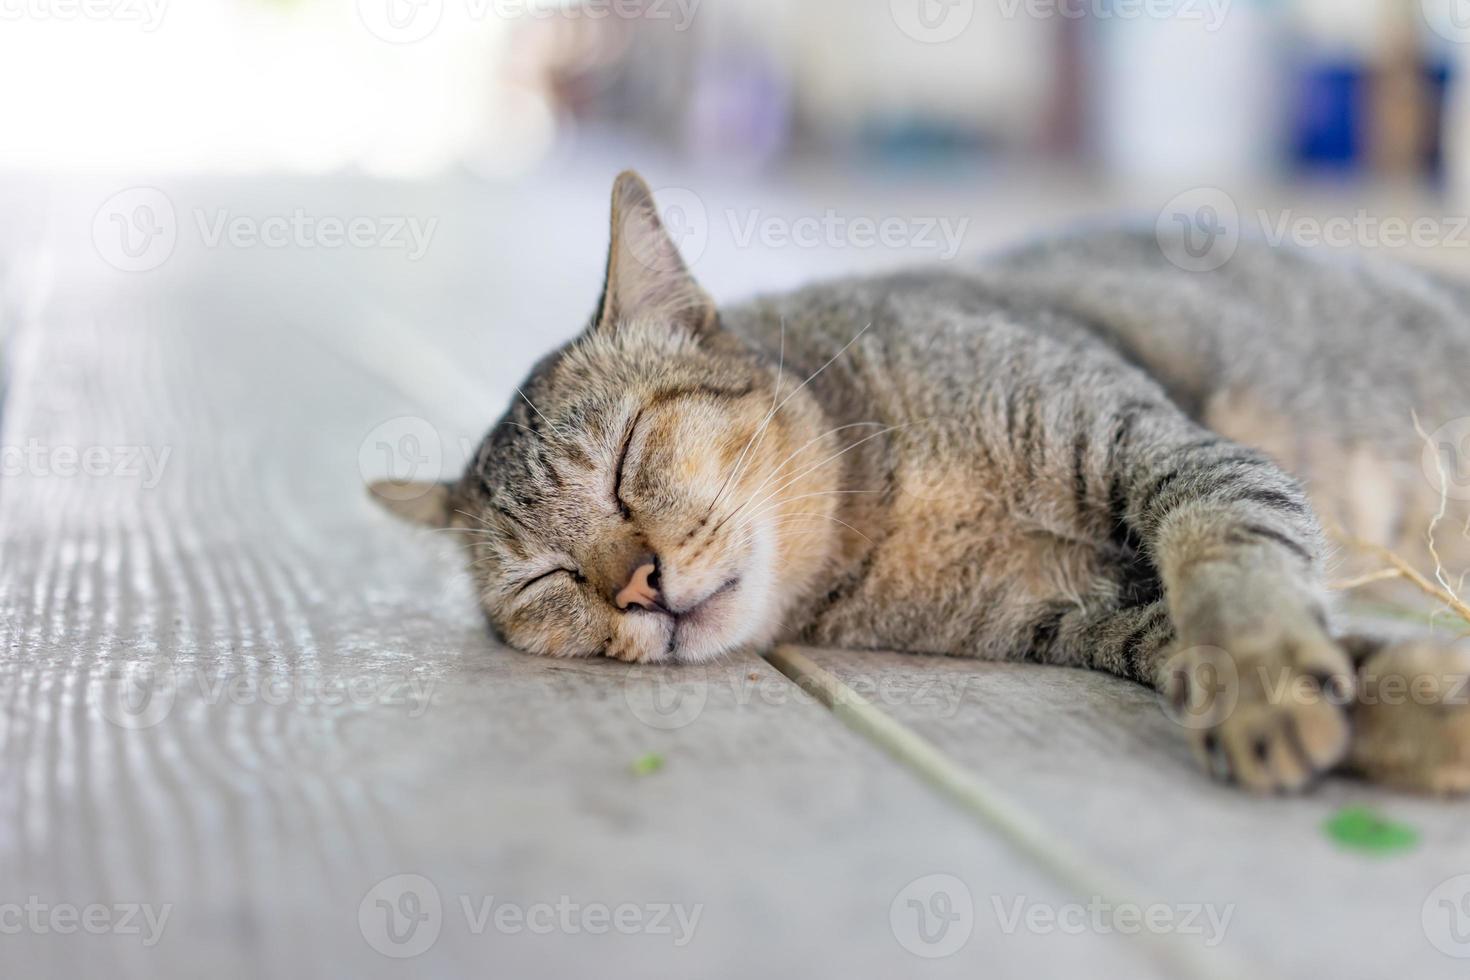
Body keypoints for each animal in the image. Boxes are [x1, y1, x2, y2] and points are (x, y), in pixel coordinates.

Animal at [373, 170, 1470, 799]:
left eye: (626, 460)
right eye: (548, 580)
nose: (636, 585)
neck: (891, 509)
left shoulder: (1168, 447)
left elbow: (1228, 559)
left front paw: (1267, 672)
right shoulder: (1082, 613)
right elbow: (1202, 640)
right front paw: (1407, 707)